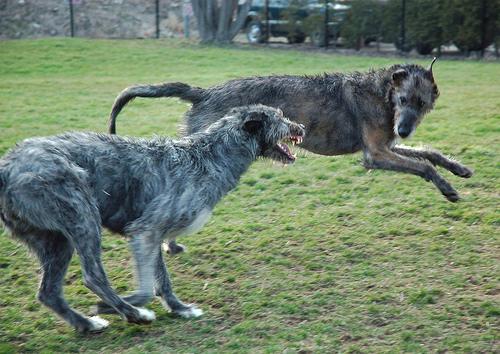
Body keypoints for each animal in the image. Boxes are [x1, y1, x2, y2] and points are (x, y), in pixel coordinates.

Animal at [0, 104, 304, 332]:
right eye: (279, 119)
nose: (301, 127)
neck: (208, 157)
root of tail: (7, 166)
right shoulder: (144, 232)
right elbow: (147, 288)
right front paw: (122, 305)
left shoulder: (154, 235)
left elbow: (162, 280)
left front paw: (180, 308)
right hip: (81, 216)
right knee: (93, 277)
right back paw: (132, 314)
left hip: (55, 240)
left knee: (49, 292)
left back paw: (86, 323)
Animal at [109, 59, 472, 206]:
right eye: (402, 99)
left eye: (422, 103)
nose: (404, 129)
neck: (382, 92)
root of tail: (204, 93)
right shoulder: (376, 154)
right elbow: (422, 165)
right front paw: (447, 189)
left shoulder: (387, 145)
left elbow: (429, 154)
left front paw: (457, 169)